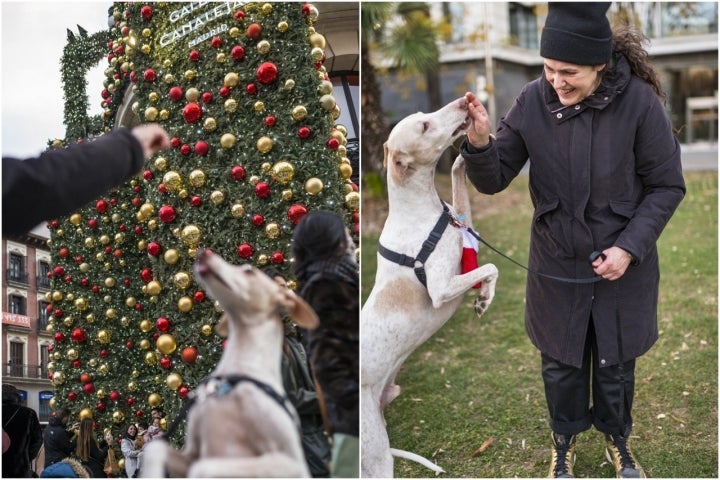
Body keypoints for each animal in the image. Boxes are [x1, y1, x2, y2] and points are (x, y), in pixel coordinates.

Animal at [141, 249, 318, 478]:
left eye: (249, 271)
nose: (202, 252)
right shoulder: (190, 455)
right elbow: (154, 448)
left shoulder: (292, 463)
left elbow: (203, 468)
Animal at [362, 96, 498, 476]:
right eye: (423, 126)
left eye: (424, 115)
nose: (465, 101)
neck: (421, 211)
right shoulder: (440, 289)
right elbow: (491, 266)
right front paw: (484, 297)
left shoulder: (463, 224)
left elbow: (457, 176)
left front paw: (471, 149)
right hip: (376, 456)